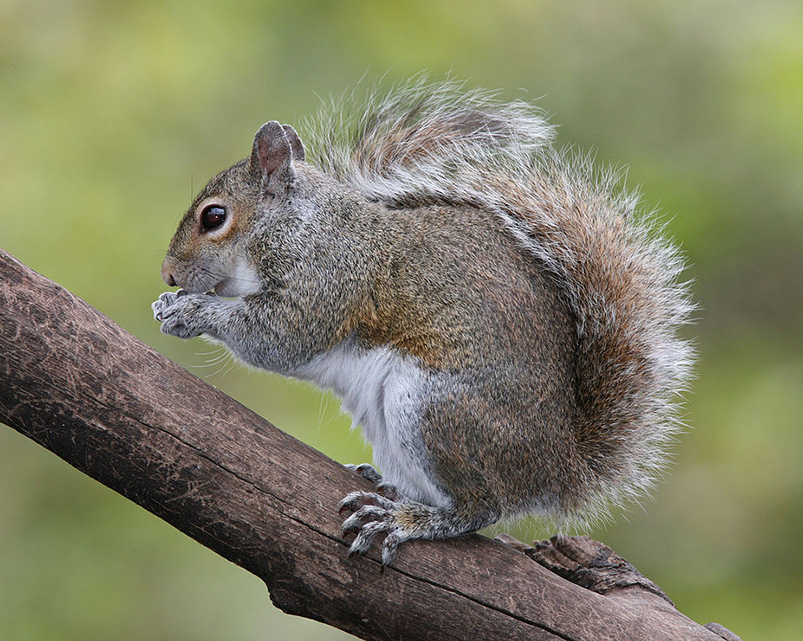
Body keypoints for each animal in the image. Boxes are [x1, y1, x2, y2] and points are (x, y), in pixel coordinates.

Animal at [152, 80, 694, 565]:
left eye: (214, 217)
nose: (169, 274)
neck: (297, 225)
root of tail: (561, 469)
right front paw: (169, 304)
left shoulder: (328, 279)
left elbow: (279, 336)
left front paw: (189, 311)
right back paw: (386, 484)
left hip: (433, 409)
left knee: (480, 508)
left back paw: (407, 519)